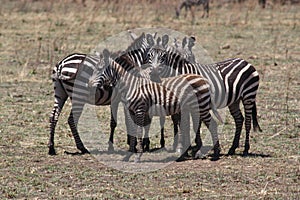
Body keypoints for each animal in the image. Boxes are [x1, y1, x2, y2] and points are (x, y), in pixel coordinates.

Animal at [92, 49, 223, 162]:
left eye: (99, 69)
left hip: (201, 106)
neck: (131, 85)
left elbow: (139, 131)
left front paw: (138, 155)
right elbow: (133, 131)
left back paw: (215, 154)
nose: (90, 86)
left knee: (212, 125)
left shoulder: (140, 110)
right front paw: (129, 155)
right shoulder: (132, 111)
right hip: (195, 107)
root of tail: (202, 78)